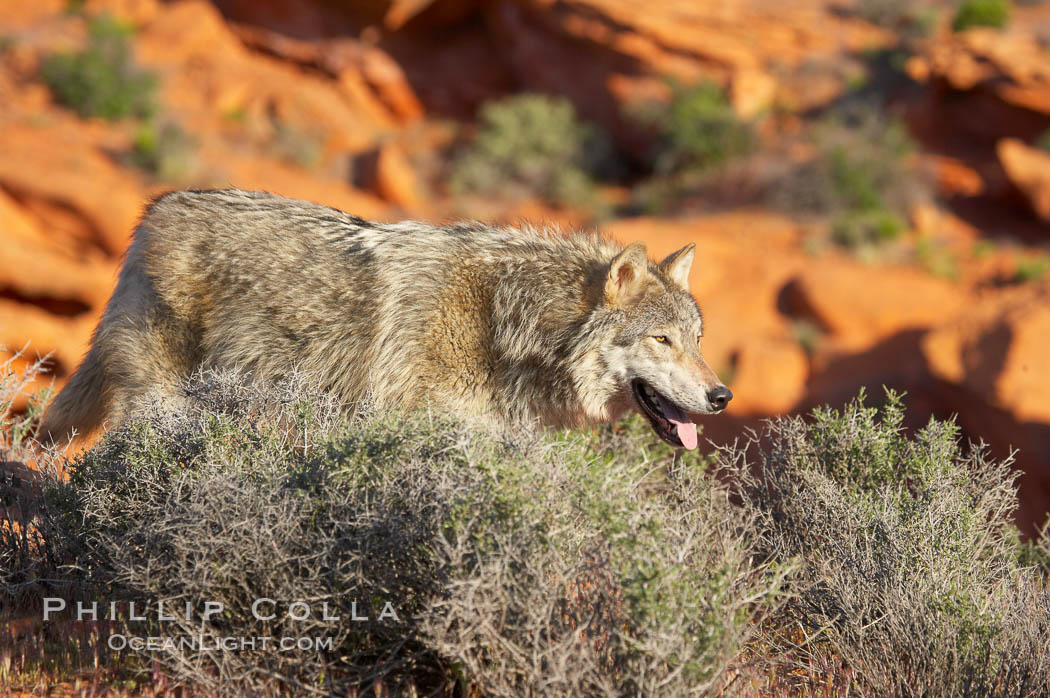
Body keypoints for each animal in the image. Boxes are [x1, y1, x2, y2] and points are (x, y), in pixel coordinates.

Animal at [38, 187, 730, 449]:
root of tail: (154, 212)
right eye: (662, 339)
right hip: (162, 404)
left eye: (697, 340)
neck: (505, 325)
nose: (722, 395)